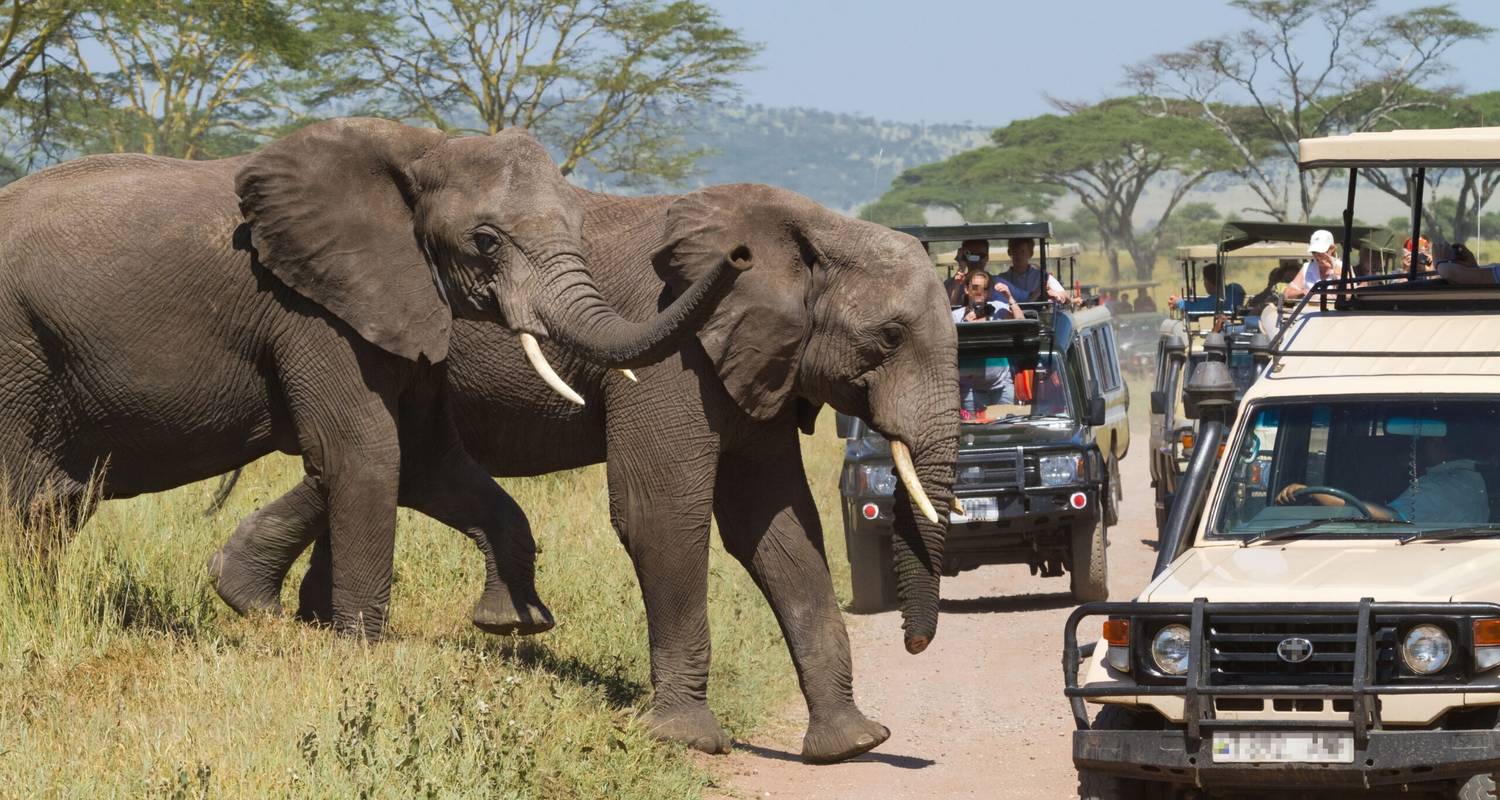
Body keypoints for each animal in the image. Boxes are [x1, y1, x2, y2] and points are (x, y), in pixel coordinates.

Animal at [0, 117, 750, 636]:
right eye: (486, 241)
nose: (740, 254)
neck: (424, 146)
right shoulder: (313, 306)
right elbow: (365, 451)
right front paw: (358, 649)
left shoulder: (399, 301)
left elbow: (426, 458)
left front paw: (515, 626)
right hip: (15, 343)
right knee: (28, 491)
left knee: (54, 503)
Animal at [205, 182, 954, 762]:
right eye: (888, 338)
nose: (916, 644)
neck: (811, 227)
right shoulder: (677, 355)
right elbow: (662, 512)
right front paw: (686, 741)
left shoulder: (763, 359)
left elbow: (776, 528)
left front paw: (853, 745)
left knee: (380, 462)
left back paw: (269, 603)